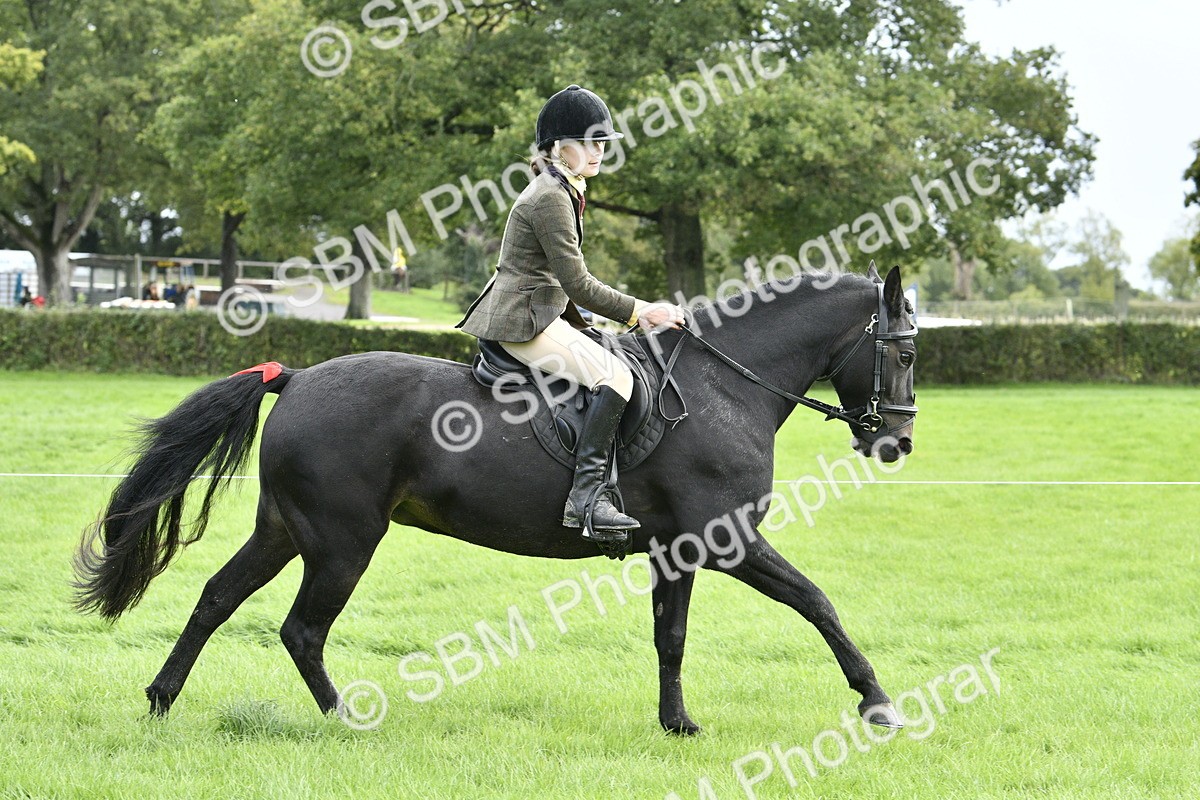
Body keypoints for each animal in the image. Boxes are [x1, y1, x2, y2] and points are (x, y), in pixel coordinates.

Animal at [73, 263, 918, 735]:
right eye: (905, 351)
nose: (898, 443)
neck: (725, 385)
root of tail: (300, 377)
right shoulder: (728, 539)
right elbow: (817, 603)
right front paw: (877, 702)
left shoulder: (676, 551)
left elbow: (670, 638)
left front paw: (676, 723)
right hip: (343, 543)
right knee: (301, 630)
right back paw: (344, 719)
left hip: (285, 530)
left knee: (216, 599)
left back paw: (160, 699)